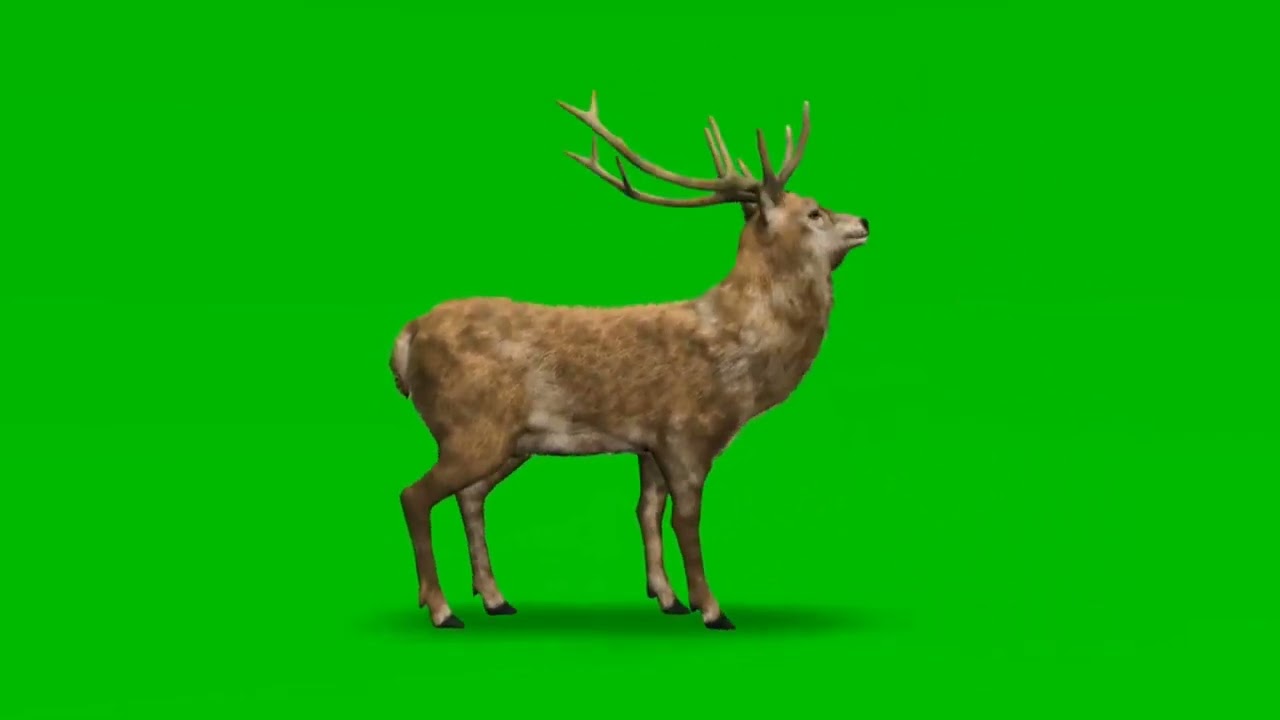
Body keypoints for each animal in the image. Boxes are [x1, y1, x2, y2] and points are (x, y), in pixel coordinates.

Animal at [389, 91, 869, 631]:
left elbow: (646, 511)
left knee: (469, 496)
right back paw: (442, 609)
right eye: (814, 212)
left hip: (509, 441)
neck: (740, 354)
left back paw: (495, 598)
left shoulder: (649, 442)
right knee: (414, 495)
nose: (864, 222)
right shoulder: (686, 432)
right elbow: (685, 519)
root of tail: (405, 338)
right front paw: (711, 609)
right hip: (472, 426)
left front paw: (668, 597)